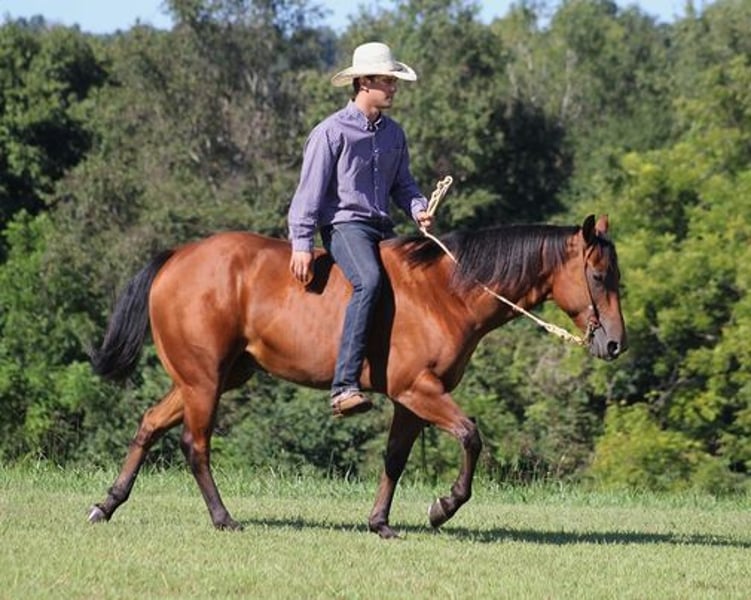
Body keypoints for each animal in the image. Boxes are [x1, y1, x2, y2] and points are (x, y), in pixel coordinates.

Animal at [87, 214, 626, 539]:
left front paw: (380, 522)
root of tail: (178, 257)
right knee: (194, 445)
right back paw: (223, 518)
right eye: (600, 277)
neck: (445, 292)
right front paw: (444, 506)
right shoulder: (419, 390)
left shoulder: (411, 400)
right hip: (204, 382)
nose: (616, 344)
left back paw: (108, 504)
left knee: (150, 424)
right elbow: (471, 436)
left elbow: (394, 459)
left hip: (208, 378)